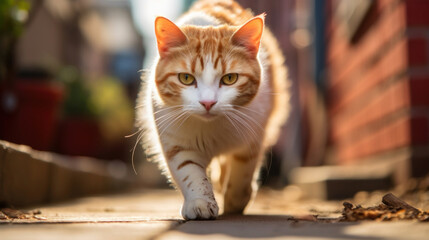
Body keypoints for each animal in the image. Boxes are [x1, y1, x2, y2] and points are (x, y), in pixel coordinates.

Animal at [135, 0, 290, 220]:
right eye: (186, 78)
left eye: (230, 78)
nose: (207, 102)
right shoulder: (178, 142)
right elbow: (190, 171)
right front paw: (200, 202)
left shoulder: (253, 135)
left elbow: (243, 169)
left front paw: (235, 200)